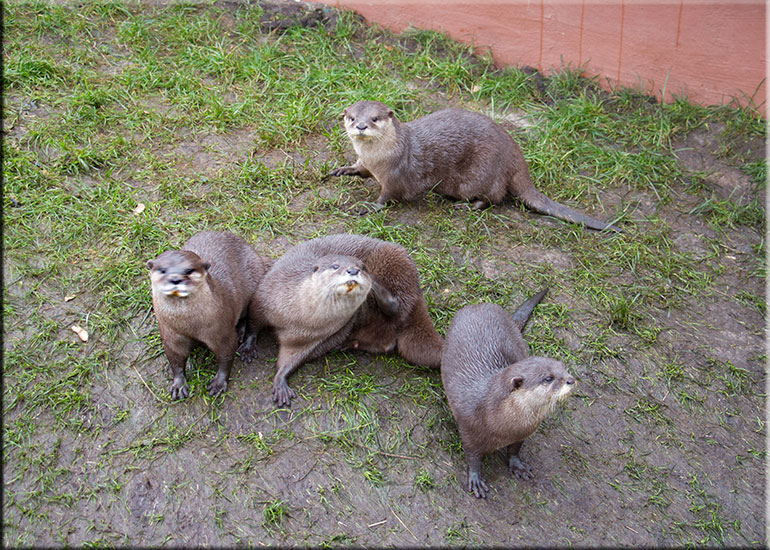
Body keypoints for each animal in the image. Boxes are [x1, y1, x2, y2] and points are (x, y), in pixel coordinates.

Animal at [147, 231, 271, 400]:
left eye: (189, 271)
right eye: (162, 270)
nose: (175, 279)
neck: (189, 326)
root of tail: (257, 256)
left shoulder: (221, 332)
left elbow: (226, 355)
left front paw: (219, 383)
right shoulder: (171, 336)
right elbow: (175, 360)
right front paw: (179, 384)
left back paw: (244, 340)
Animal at [258, 234, 443, 407]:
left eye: (362, 267)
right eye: (335, 266)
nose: (354, 270)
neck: (303, 318)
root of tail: (417, 292)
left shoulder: (312, 340)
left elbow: (293, 357)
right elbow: (287, 358)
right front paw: (280, 381)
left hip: (393, 263)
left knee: (394, 317)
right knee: (386, 343)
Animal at [329, 100, 618, 232]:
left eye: (375, 118)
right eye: (351, 117)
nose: (361, 126)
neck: (380, 157)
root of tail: (516, 156)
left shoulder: (395, 176)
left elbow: (387, 197)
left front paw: (369, 206)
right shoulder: (367, 164)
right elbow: (359, 170)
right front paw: (343, 170)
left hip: (481, 174)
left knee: (494, 198)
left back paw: (465, 206)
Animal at [441, 289, 575, 498]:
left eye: (564, 367)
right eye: (548, 378)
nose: (571, 380)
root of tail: (478, 305)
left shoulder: (523, 433)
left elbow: (515, 449)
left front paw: (517, 465)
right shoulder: (468, 429)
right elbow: (472, 455)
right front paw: (475, 478)